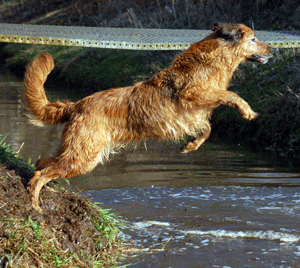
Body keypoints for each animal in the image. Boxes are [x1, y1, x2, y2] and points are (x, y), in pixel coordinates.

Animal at [24, 23, 274, 211]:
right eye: (254, 39)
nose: (272, 50)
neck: (212, 59)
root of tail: (78, 104)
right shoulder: (193, 95)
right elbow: (230, 95)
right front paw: (248, 111)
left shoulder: (195, 116)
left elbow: (208, 129)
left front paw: (191, 146)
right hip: (83, 156)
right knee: (41, 174)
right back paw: (35, 204)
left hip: (77, 152)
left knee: (42, 164)